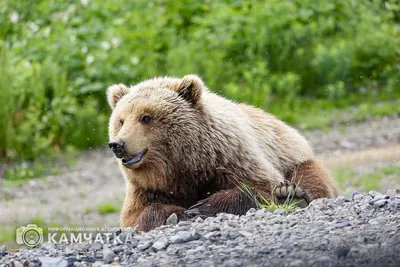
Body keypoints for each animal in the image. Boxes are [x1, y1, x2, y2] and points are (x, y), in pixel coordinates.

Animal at [106, 75, 338, 232]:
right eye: (121, 120)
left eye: (146, 117)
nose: (117, 144)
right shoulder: (147, 187)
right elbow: (136, 215)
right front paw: (177, 212)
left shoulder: (231, 158)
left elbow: (261, 186)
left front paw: (200, 207)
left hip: (295, 156)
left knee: (312, 178)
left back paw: (293, 194)